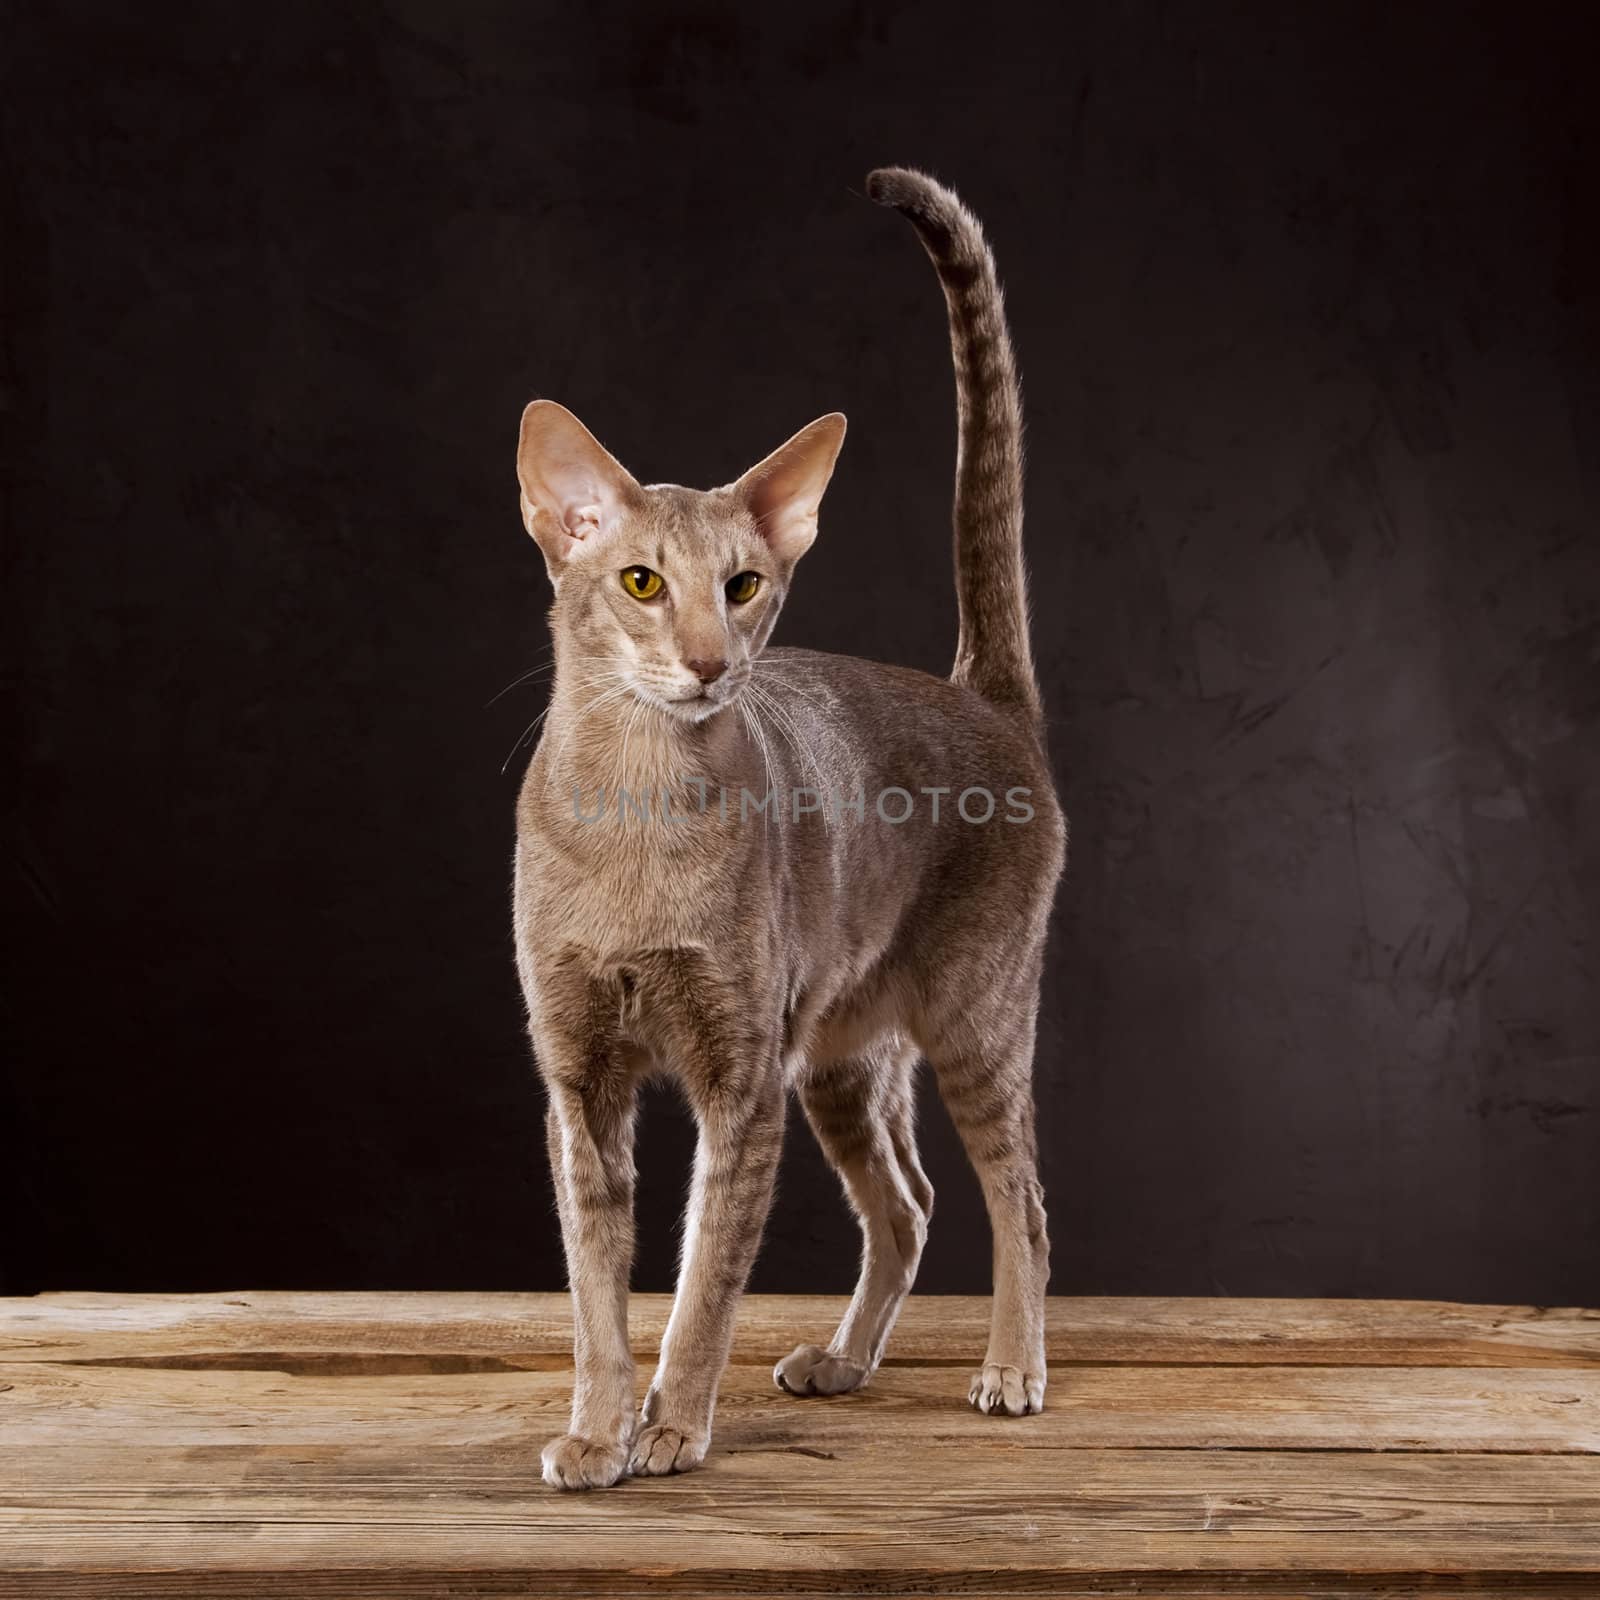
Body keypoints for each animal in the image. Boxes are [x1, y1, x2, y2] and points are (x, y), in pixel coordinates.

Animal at [512, 162, 1062, 1484]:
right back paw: (847, 1360)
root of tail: (980, 695)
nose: (712, 661)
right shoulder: (577, 1076)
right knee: (907, 1203)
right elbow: (595, 1289)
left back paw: (1011, 1368)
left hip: (975, 1015)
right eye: (642, 582)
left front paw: (672, 1425)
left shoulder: (740, 1075)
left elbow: (705, 1275)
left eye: (745, 585)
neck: (634, 808)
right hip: (847, 1057)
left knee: (1017, 1201)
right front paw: (596, 1429)